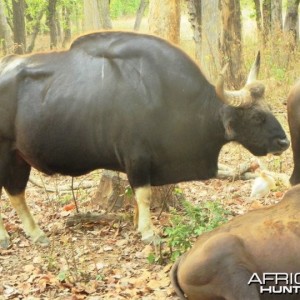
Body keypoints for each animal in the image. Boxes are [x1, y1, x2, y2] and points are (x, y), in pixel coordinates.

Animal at [0, 31, 290, 248]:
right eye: (256, 116)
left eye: (268, 108)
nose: (284, 143)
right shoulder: (137, 158)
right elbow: (144, 195)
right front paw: (149, 232)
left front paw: (138, 225)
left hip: (18, 156)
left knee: (16, 193)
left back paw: (35, 234)